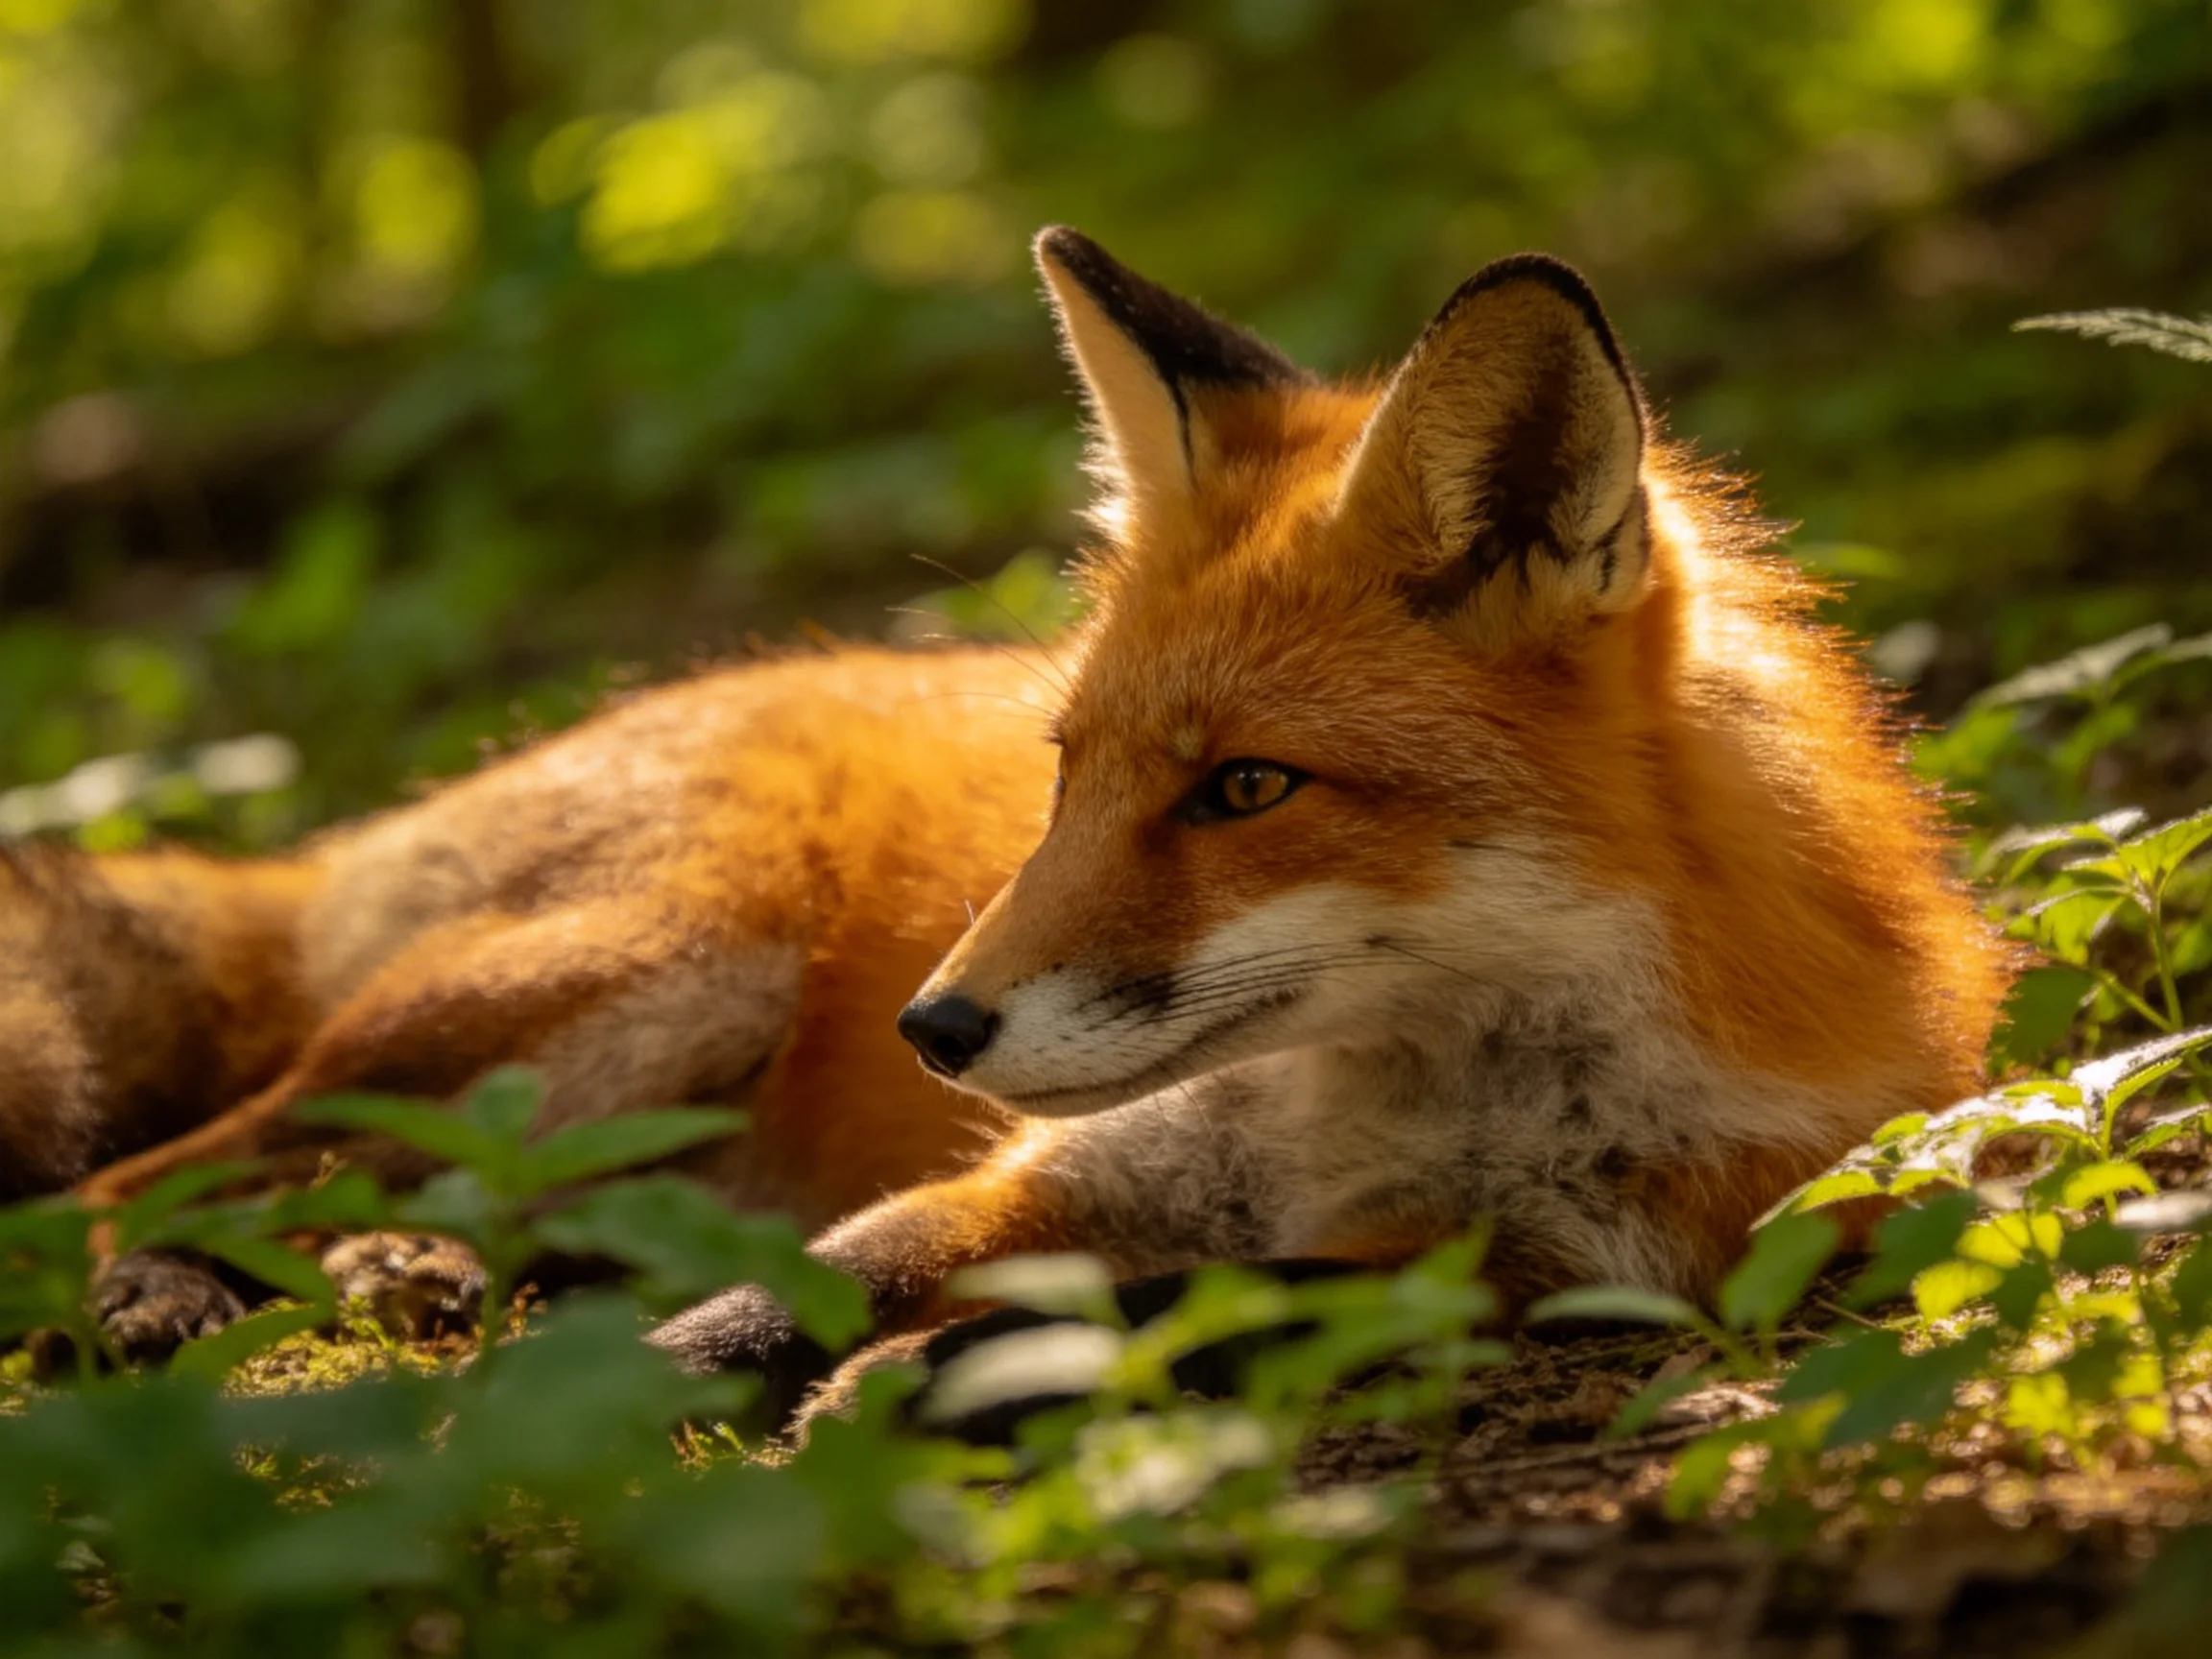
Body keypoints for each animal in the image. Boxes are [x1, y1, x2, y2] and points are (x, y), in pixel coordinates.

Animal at [22, 228, 2004, 1400]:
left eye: (1243, 786)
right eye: (1072, 772)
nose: (934, 1025)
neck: (1421, 1104)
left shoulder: (1584, 1271)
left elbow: (1216, 1303)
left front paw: (930, 1381)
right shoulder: (1044, 1169)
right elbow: (786, 1295)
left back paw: (402, 1264)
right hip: (656, 973)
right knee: (136, 1179)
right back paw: (173, 1296)